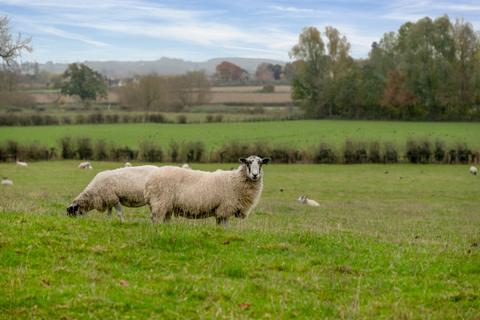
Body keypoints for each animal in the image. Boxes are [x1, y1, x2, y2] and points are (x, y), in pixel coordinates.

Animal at [142, 155, 270, 225]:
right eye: (248, 163)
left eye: (261, 163)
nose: (255, 175)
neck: (235, 180)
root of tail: (149, 181)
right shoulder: (224, 208)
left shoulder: (220, 211)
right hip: (159, 202)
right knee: (155, 219)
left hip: (167, 205)